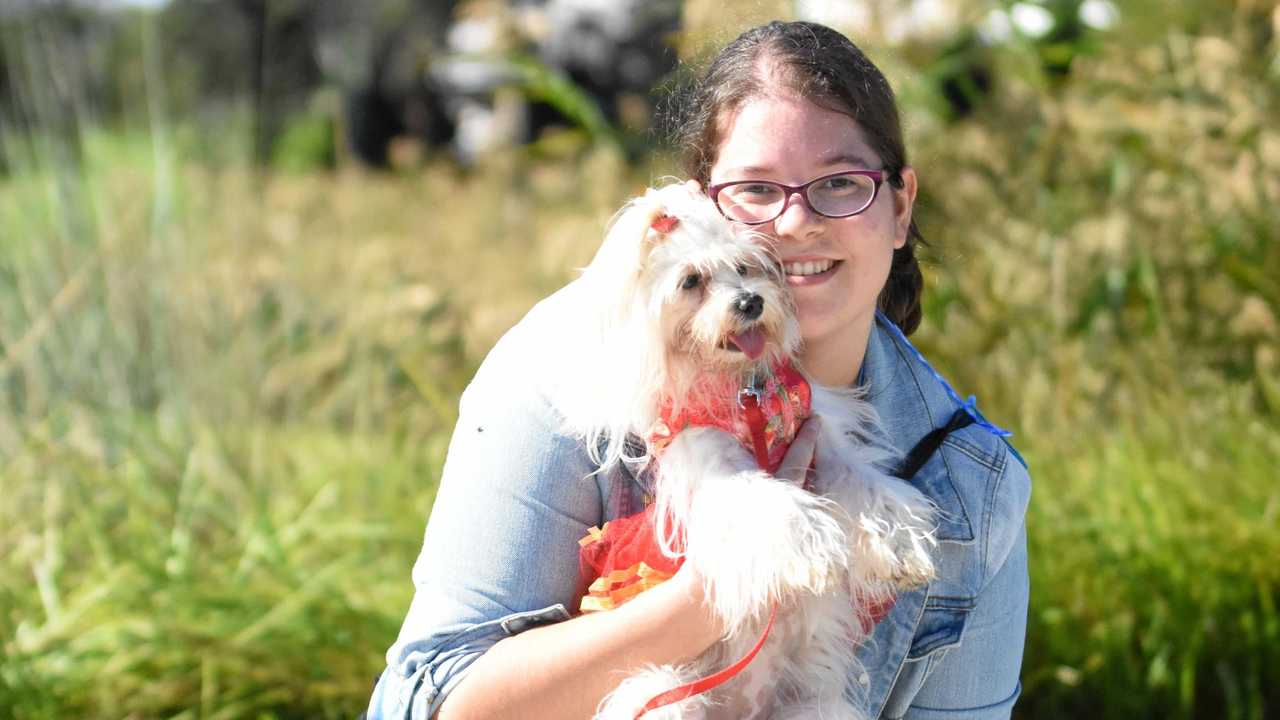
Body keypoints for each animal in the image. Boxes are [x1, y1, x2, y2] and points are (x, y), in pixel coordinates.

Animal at [555, 183, 936, 717]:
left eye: (746, 267)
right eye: (691, 281)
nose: (751, 302)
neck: (743, 389)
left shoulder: (821, 436)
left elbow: (866, 487)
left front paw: (900, 547)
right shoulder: (715, 465)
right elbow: (770, 502)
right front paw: (813, 548)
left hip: (811, 706)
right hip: (662, 689)